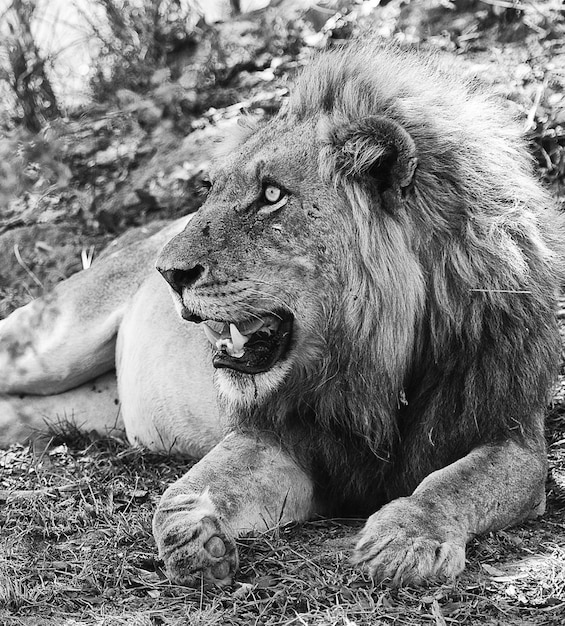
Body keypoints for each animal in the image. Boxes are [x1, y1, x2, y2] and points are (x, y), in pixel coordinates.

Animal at [0, 41, 560, 588]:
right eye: (212, 191)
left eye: (272, 194)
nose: (168, 272)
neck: (378, 361)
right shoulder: (279, 435)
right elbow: (183, 495)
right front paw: (195, 535)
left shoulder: (510, 435)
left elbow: (453, 484)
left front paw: (406, 538)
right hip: (48, 344)